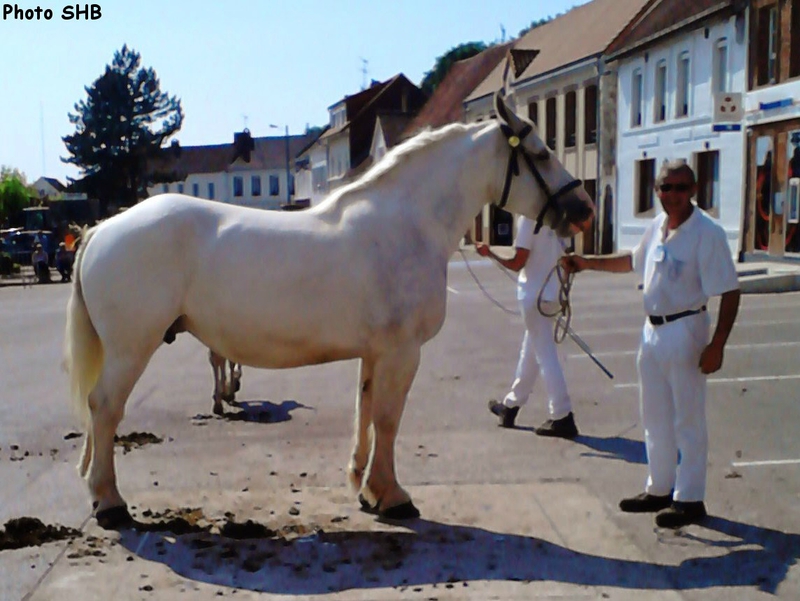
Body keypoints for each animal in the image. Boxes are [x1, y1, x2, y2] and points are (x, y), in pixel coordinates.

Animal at [64, 91, 592, 528]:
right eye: (540, 153)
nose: (583, 209)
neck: (407, 224)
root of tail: (102, 228)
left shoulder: (376, 353)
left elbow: (366, 413)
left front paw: (365, 489)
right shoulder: (403, 352)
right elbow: (388, 419)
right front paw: (393, 497)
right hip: (131, 349)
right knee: (105, 408)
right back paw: (110, 503)